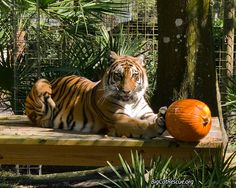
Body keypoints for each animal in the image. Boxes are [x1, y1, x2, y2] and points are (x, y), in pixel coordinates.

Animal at [25, 51, 166, 138]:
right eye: (118, 75)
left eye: (134, 75)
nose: (126, 91)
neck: (131, 101)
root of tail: (55, 79)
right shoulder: (118, 119)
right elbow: (140, 125)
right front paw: (156, 126)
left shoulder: (146, 114)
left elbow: (151, 117)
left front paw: (163, 114)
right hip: (41, 83)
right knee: (35, 117)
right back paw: (46, 122)